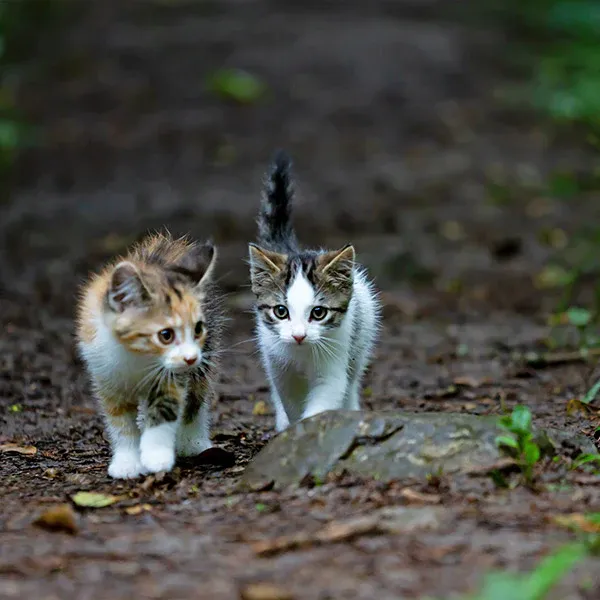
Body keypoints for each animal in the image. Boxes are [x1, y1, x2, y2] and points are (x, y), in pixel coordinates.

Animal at [77, 232, 223, 480]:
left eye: (197, 329)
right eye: (165, 335)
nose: (191, 357)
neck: (137, 356)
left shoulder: (174, 376)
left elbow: (166, 408)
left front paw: (156, 456)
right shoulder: (105, 375)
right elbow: (120, 421)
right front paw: (127, 462)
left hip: (206, 354)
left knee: (197, 396)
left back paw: (193, 441)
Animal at [247, 151, 380, 432]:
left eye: (318, 313)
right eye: (281, 311)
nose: (299, 335)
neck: (301, 354)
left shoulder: (335, 357)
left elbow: (326, 397)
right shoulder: (278, 365)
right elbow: (290, 402)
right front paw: (293, 431)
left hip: (361, 339)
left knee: (352, 381)